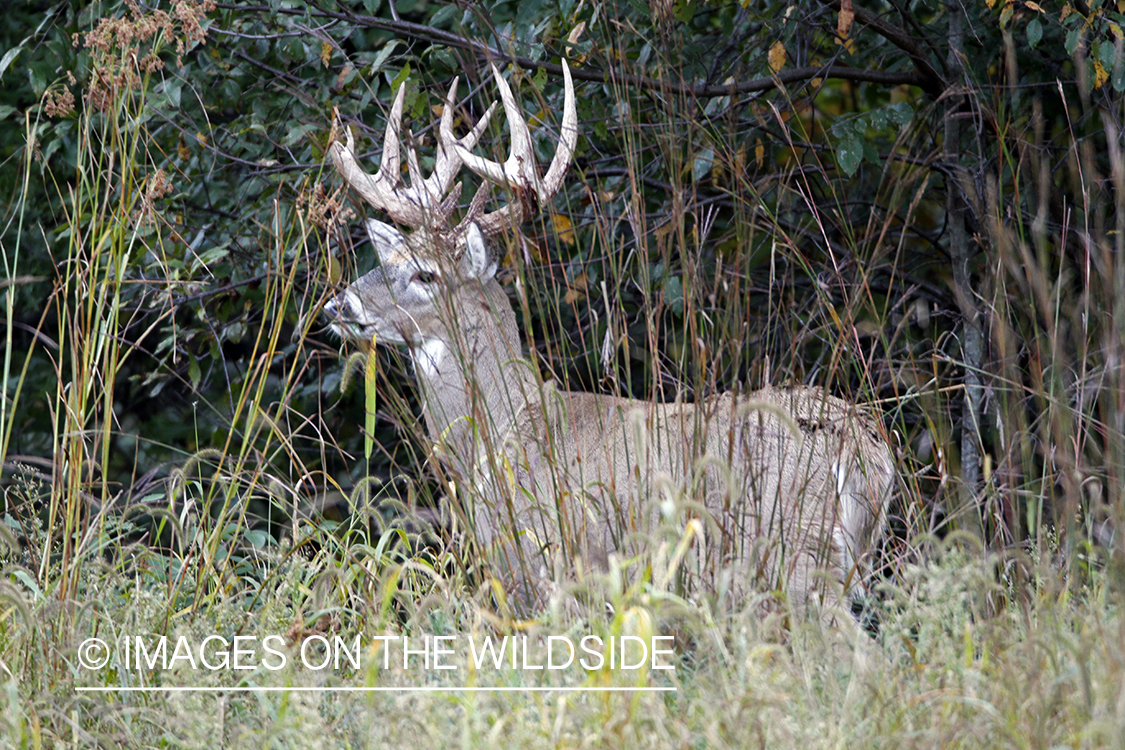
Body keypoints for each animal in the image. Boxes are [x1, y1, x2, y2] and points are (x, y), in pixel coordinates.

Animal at [326, 61, 895, 629]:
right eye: (385, 258)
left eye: (426, 274)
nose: (339, 305)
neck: (502, 434)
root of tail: (864, 448)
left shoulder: (546, 566)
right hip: (842, 562)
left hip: (788, 555)